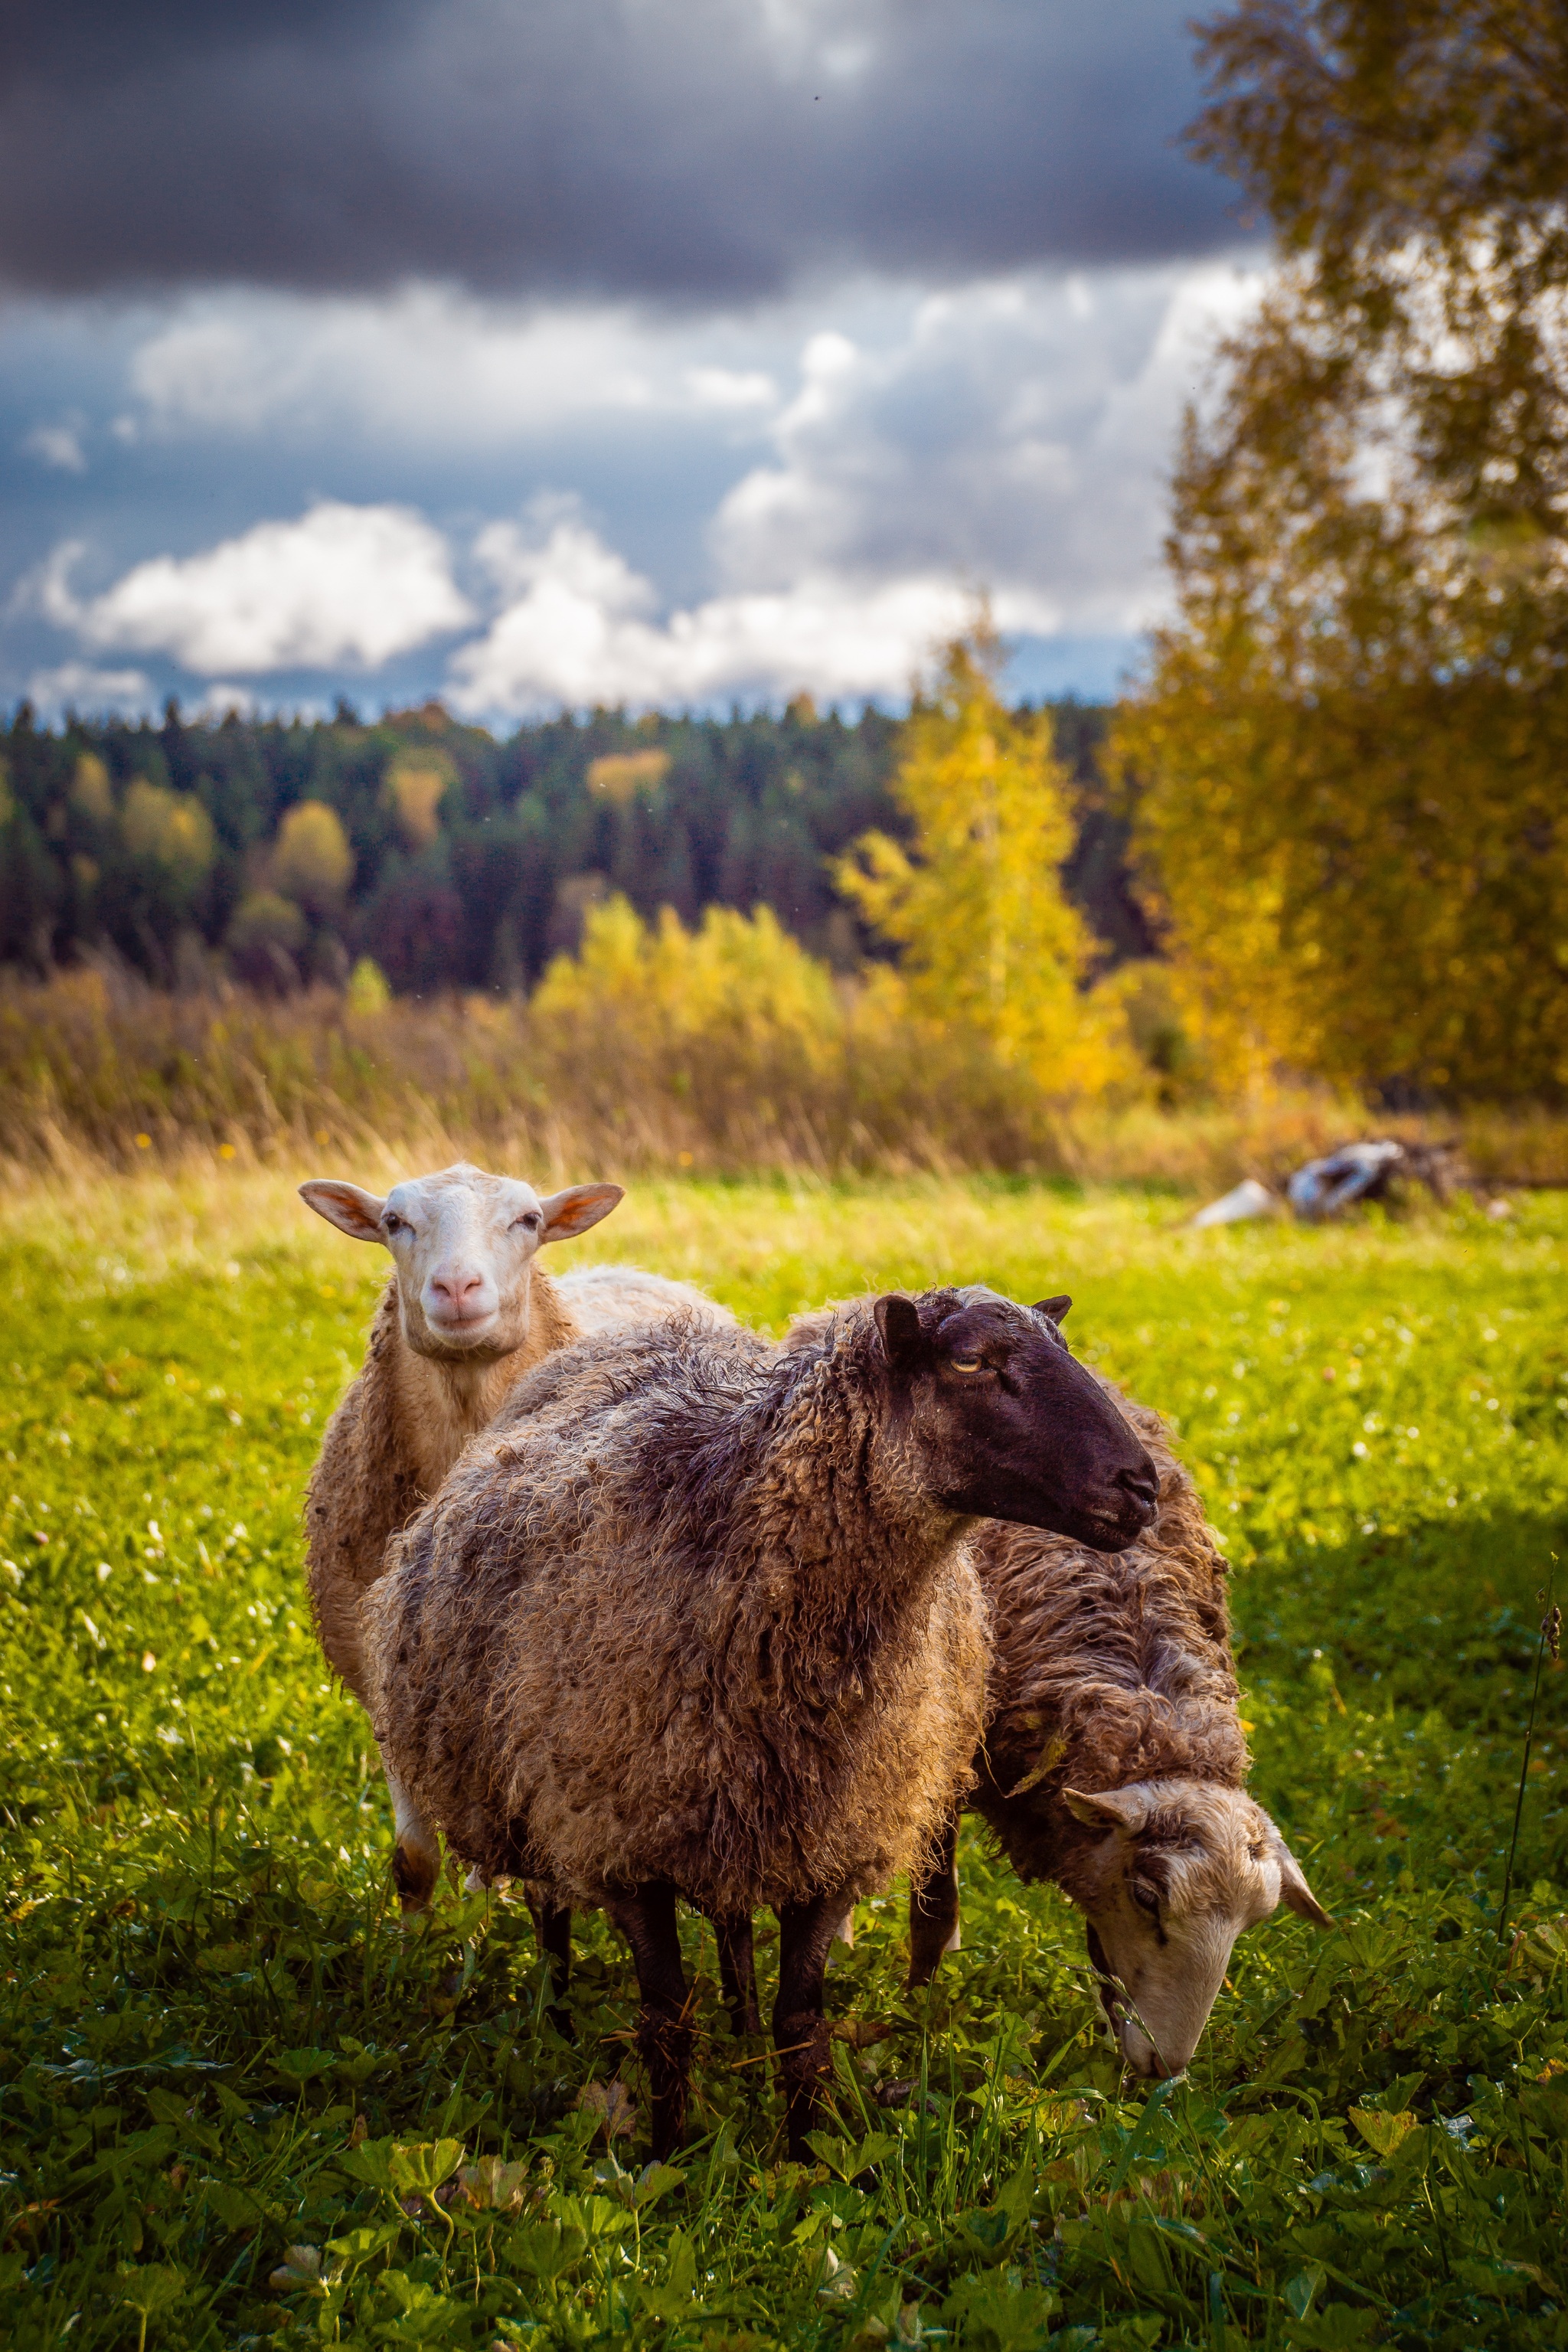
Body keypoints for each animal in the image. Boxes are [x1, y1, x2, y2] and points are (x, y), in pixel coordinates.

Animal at [361, 1289, 1161, 2154]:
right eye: (970, 1362)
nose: (1141, 1486)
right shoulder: (622, 1837)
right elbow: (666, 2019)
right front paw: (669, 2154)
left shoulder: (831, 1839)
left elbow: (800, 2024)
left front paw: (805, 2155)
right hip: (539, 1798)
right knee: (551, 1914)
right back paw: (557, 2021)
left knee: (731, 1926)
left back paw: (735, 2017)